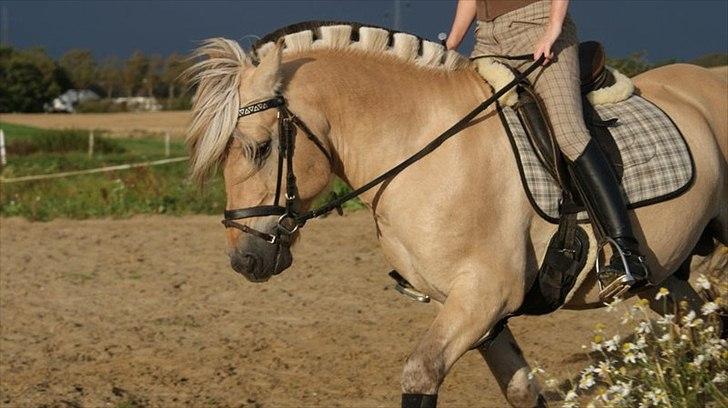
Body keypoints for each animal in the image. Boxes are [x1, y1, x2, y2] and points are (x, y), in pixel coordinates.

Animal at [186, 23, 728, 408]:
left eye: (259, 148)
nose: (245, 260)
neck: (426, 146)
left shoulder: (484, 295)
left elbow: (420, 374)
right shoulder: (481, 312)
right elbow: (522, 391)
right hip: (664, 276)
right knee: (703, 325)